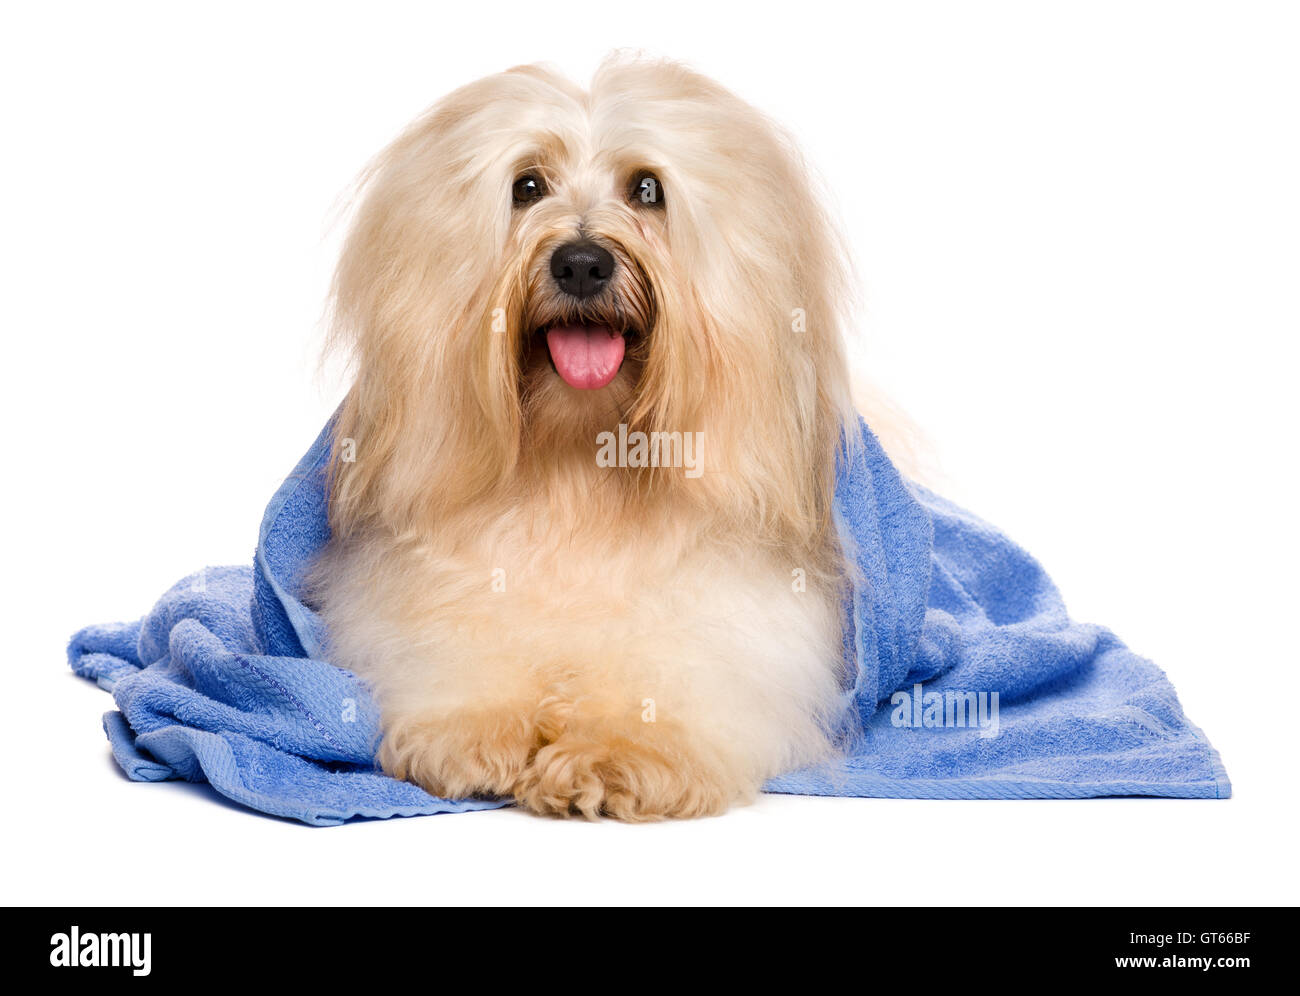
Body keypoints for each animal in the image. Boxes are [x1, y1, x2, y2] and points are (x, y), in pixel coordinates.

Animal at [308, 56, 868, 821]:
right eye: (527, 186)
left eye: (648, 189)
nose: (580, 262)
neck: (581, 465)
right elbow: (460, 646)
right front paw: (476, 729)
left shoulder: (734, 622)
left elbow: (675, 680)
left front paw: (615, 753)